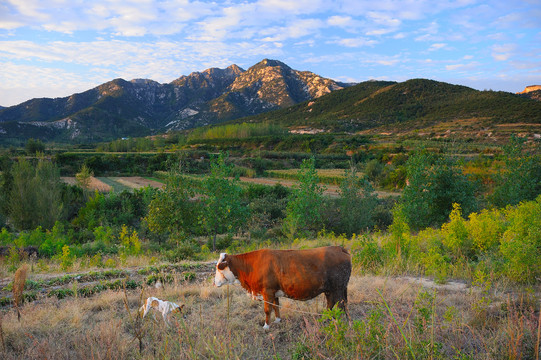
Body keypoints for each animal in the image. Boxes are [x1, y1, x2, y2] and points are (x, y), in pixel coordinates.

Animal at [215, 246, 350, 328]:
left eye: (218, 268)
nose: (214, 282)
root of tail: (339, 248)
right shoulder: (273, 292)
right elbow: (276, 306)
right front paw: (277, 320)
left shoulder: (267, 291)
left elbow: (267, 309)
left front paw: (266, 326)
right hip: (330, 290)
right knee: (331, 303)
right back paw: (328, 318)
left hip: (338, 288)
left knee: (340, 305)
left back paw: (338, 321)